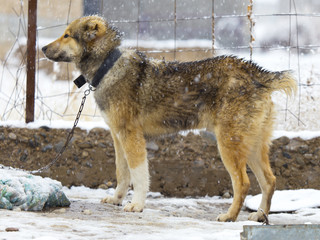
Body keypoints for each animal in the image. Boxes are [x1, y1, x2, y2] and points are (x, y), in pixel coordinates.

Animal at [42, 14, 298, 221]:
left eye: (67, 35)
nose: (43, 48)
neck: (108, 66)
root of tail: (258, 74)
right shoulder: (117, 136)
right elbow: (121, 173)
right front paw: (116, 199)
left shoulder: (131, 137)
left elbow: (139, 175)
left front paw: (136, 205)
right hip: (251, 145)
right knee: (269, 180)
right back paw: (260, 216)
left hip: (229, 144)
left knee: (243, 184)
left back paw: (230, 216)